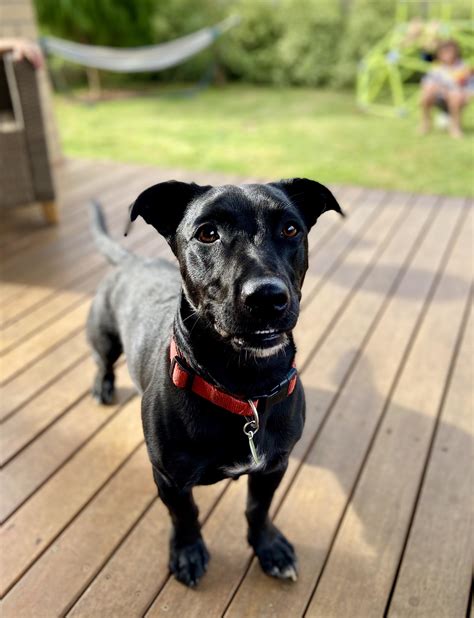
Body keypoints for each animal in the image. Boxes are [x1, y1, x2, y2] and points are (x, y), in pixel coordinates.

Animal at [87, 177, 342, 584]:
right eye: (207, 233)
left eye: (290, 229)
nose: (267, 296)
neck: (244, 388)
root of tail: (132, 260)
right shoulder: (170, 480)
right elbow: (186, 516)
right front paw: (188, 552)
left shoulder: (273, 467)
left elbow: (257, 508)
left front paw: (268, 546)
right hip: (103, 334)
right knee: (102, 360)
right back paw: (103, 385)